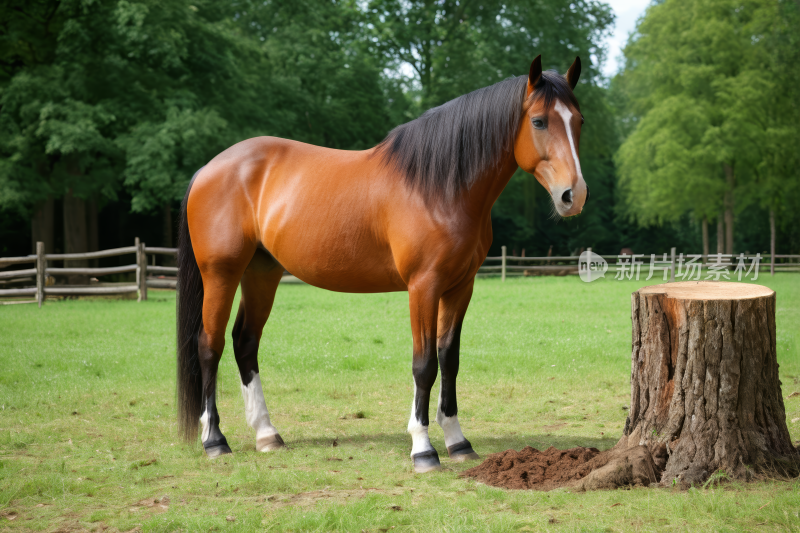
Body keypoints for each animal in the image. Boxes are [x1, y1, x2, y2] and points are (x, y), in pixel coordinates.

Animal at [175, 55, 588, 474]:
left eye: (579, 121)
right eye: (538, 121)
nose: (574, 195)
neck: (438, 187)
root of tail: (209, 169)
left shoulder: (460, 287)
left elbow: (449, 359)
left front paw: (458, 442)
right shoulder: (424, 286)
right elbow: (424, 364)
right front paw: (423, 448)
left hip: (262, 272)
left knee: (245, 342)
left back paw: (267, 435)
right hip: (222, 273)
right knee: (209, 345)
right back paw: (215, 440)